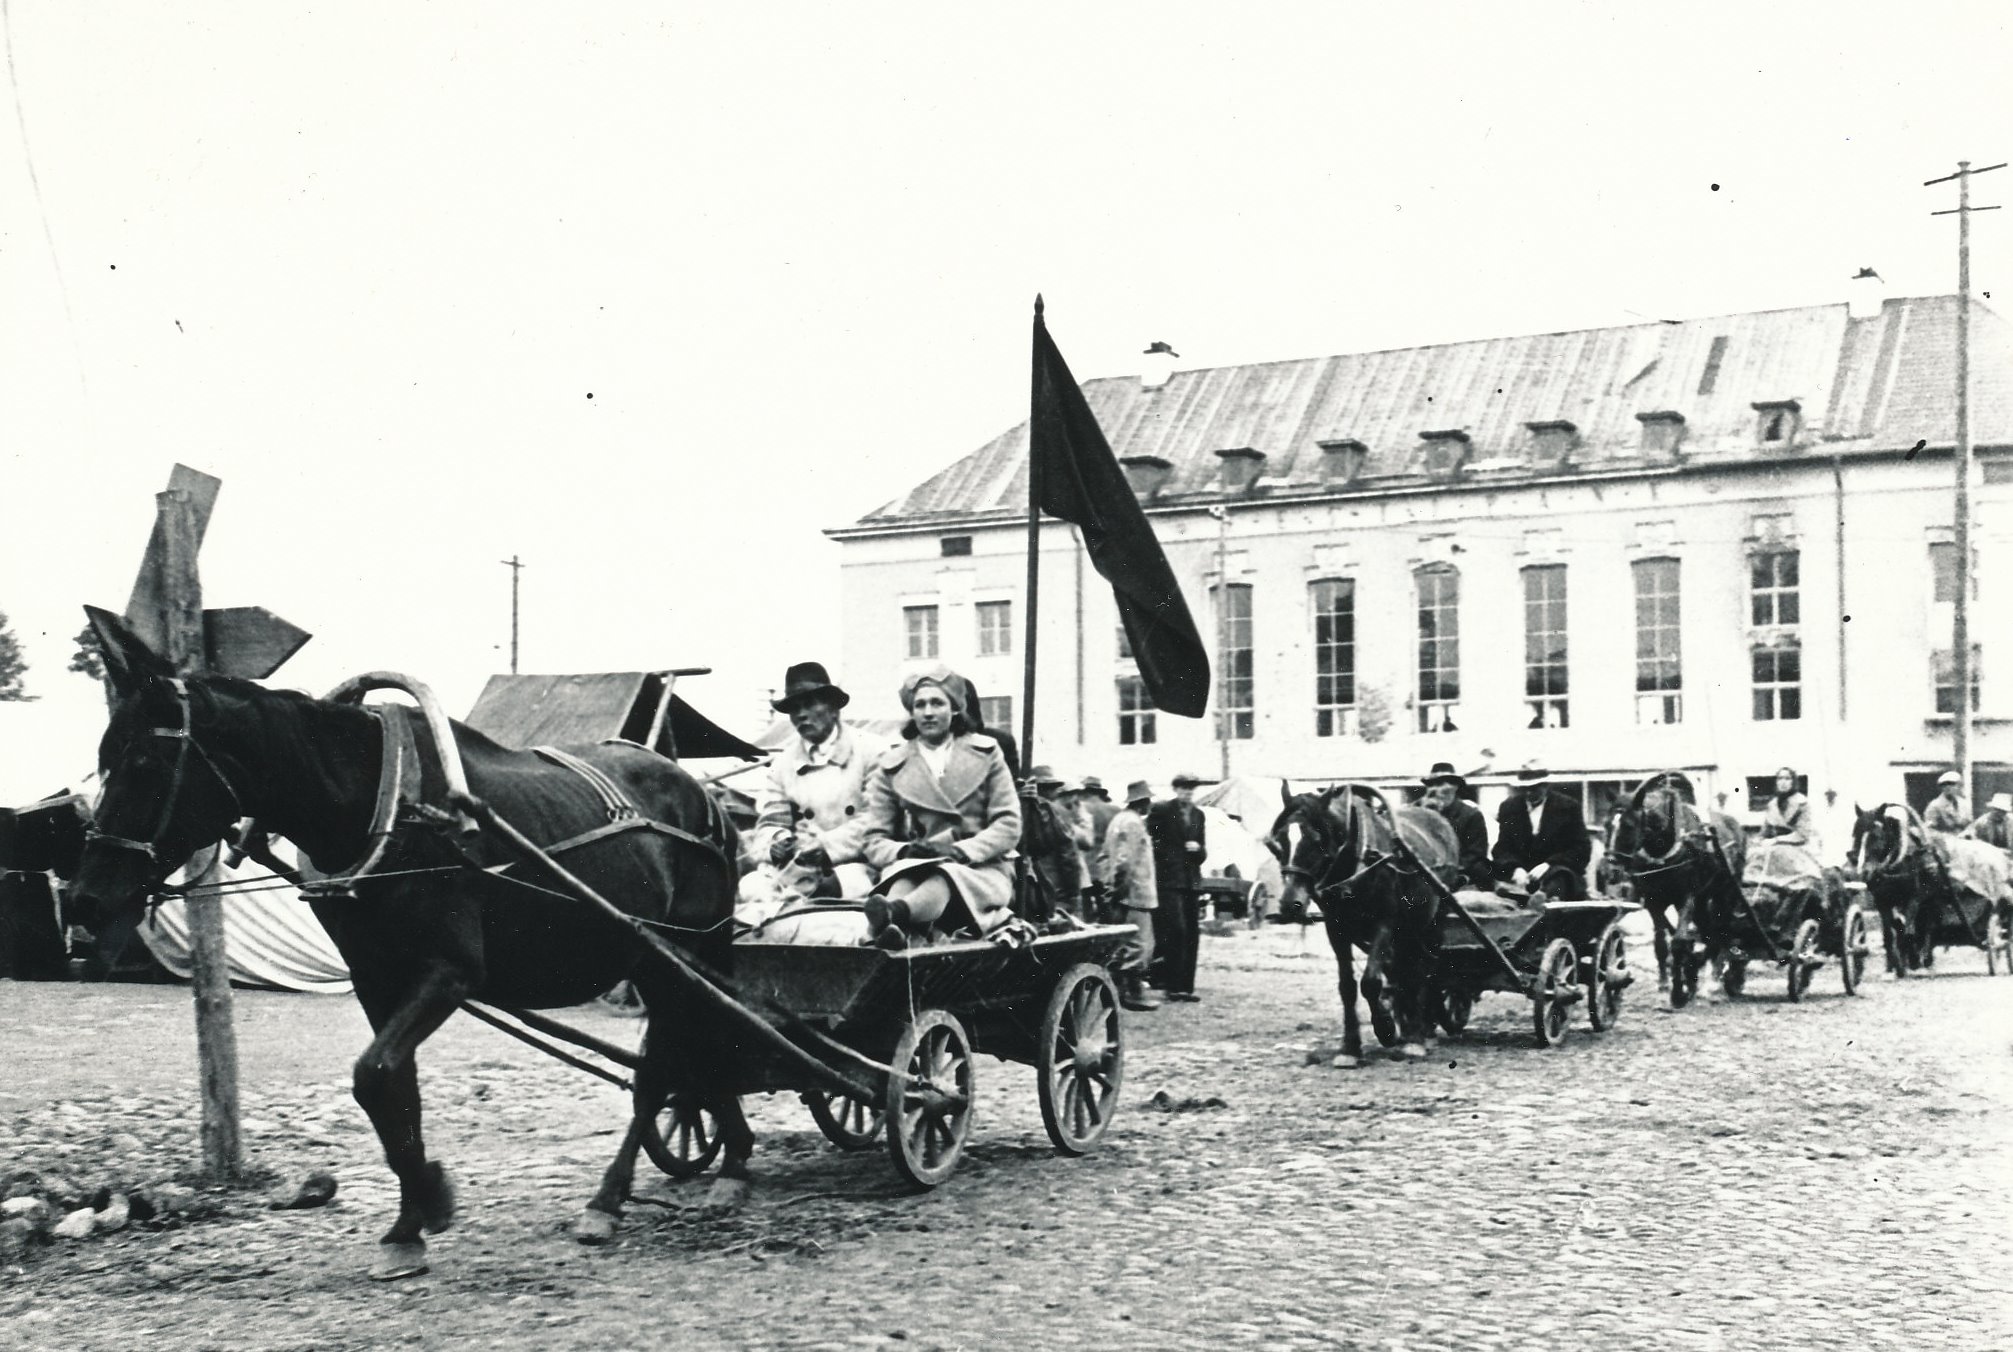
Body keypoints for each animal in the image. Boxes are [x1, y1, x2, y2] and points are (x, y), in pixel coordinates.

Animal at [70, 607, 752, 1271]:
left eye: (144, 766)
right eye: (101, 761)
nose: (84, 899)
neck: (387, 806)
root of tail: (705, 798)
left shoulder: (448, 972)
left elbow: (373, 1076)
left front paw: (430, 1195)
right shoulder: (377, 978)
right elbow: (395, 1091)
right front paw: (408, 1224)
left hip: (679, 953)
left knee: (672, 1060)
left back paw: (621, 1195)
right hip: (658, 960)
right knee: (694, 1048)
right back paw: (728, 1152)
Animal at [1264, 780, 1457, 1070]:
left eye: (1316, 840)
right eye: (1280, 842)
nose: (1290, 904)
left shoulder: (1386, 924)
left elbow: (1370, 982)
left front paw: (1386, 1028)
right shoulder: (1337, 930)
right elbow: (1347, 986)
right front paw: (1350, 1048)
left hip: (1433, 922)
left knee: (1424, 970)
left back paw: (1418, 1035)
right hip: (1407, 932)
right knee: (1404, 971)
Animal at [1602, 772, 1747, 1001]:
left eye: (1629, 826)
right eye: (1606, 825)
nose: (1610, 871)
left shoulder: (1686, 897)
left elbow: (1678, 942)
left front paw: (1679, 991)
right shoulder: (1654, 901)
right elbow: (1661, 944)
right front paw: (1665, 985)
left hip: (1726, 893)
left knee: (1723, 930)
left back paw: (1712, 981)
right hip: (1703, 899)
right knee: (1709, 932)